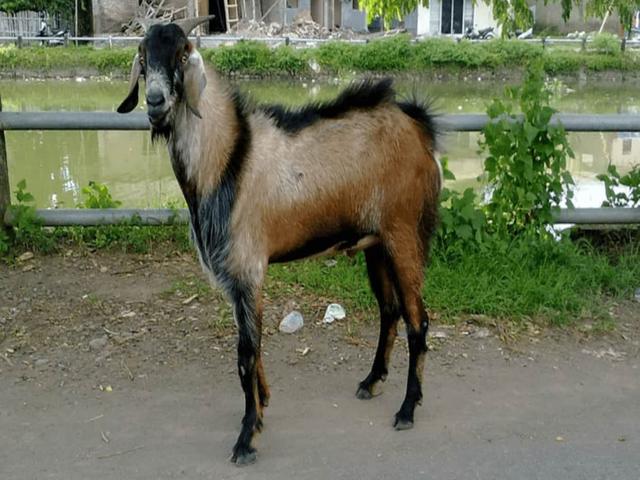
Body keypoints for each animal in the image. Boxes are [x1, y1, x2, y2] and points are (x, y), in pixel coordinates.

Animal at [117, 17, 441, 465]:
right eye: (143, 57)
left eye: (182, 55)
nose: (154, 101)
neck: (227, 160)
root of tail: (418, 127)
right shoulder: (236, 278)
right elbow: (251, 346)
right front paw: (263, 403)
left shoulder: (248, 266)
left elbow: (245, 354)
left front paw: (246, 436)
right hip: (375, 242)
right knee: (389, 310)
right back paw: (372, 381)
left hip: (403, 232)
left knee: (417, 319)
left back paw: (408, 408)